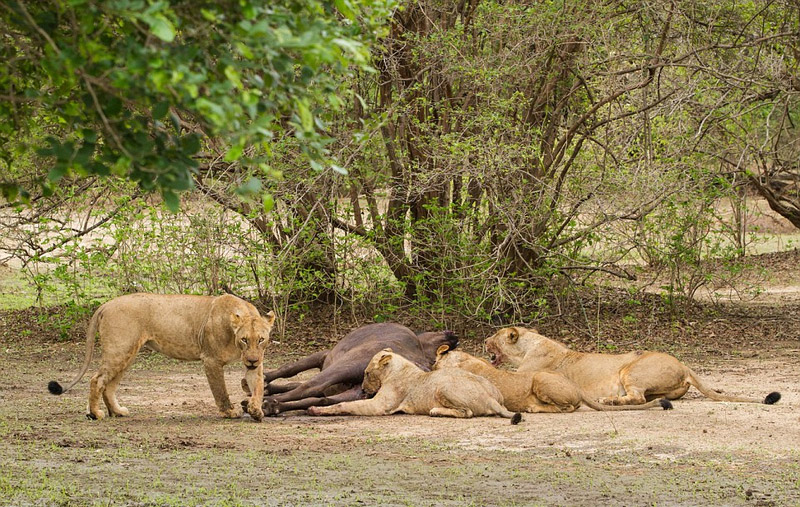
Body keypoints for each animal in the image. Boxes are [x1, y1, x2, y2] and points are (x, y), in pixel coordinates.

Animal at [50, 292, 276, 422]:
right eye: (244, 339)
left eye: (261, 339)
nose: (252, 360)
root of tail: (106, 304)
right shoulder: (211, 359)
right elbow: (220, 390)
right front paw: (229, 412)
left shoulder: (254, 364)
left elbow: (257, 387)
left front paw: (256, 410)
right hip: (119, 350)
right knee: (96, 380)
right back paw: (95, 414)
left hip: (127, 354)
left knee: (110, 385)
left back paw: (118, 411)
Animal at [304, 350, 520, 424]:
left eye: (366, 373)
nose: (364, 390)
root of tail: (490, 399)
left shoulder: (379, 407)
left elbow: (345, 405)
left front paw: (315, 409)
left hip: (443, 387)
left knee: (466, 412)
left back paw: (435, 411)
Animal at [484, 330, 780, 408]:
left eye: (495, 336)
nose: (484, 340)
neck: (529, 345)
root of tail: (684, 365)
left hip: (631, 370)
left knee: (636, 397)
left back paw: (609, 400)